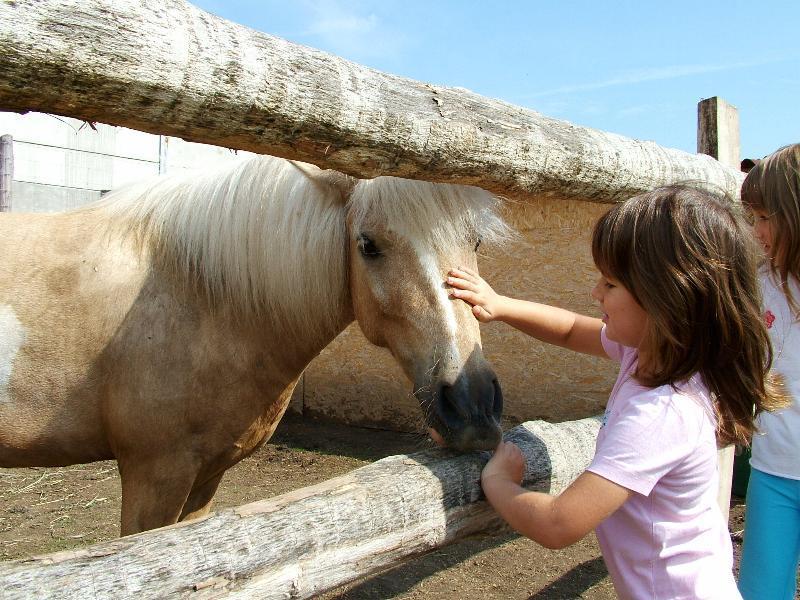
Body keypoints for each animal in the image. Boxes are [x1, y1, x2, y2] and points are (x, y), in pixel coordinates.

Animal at [0, 154, 510, 536]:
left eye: (475, 243)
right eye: (367, 245)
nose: (474, 405)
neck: (201, 294)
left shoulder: (206, 475)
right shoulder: (153, 474)